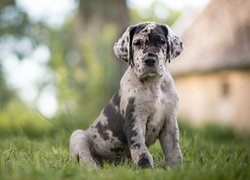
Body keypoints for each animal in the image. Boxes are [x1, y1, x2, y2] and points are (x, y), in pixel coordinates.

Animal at [70, 21, 184, 168]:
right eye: (137, 43)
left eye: (161, 41)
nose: (150, 60)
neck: (153, 84)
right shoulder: (134, 121)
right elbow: (141, 150)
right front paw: (146, 168)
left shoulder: (169, 122)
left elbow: (174, 151)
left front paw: (177, 169)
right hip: (78, 136)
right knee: (85, 158)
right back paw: (94, 168)